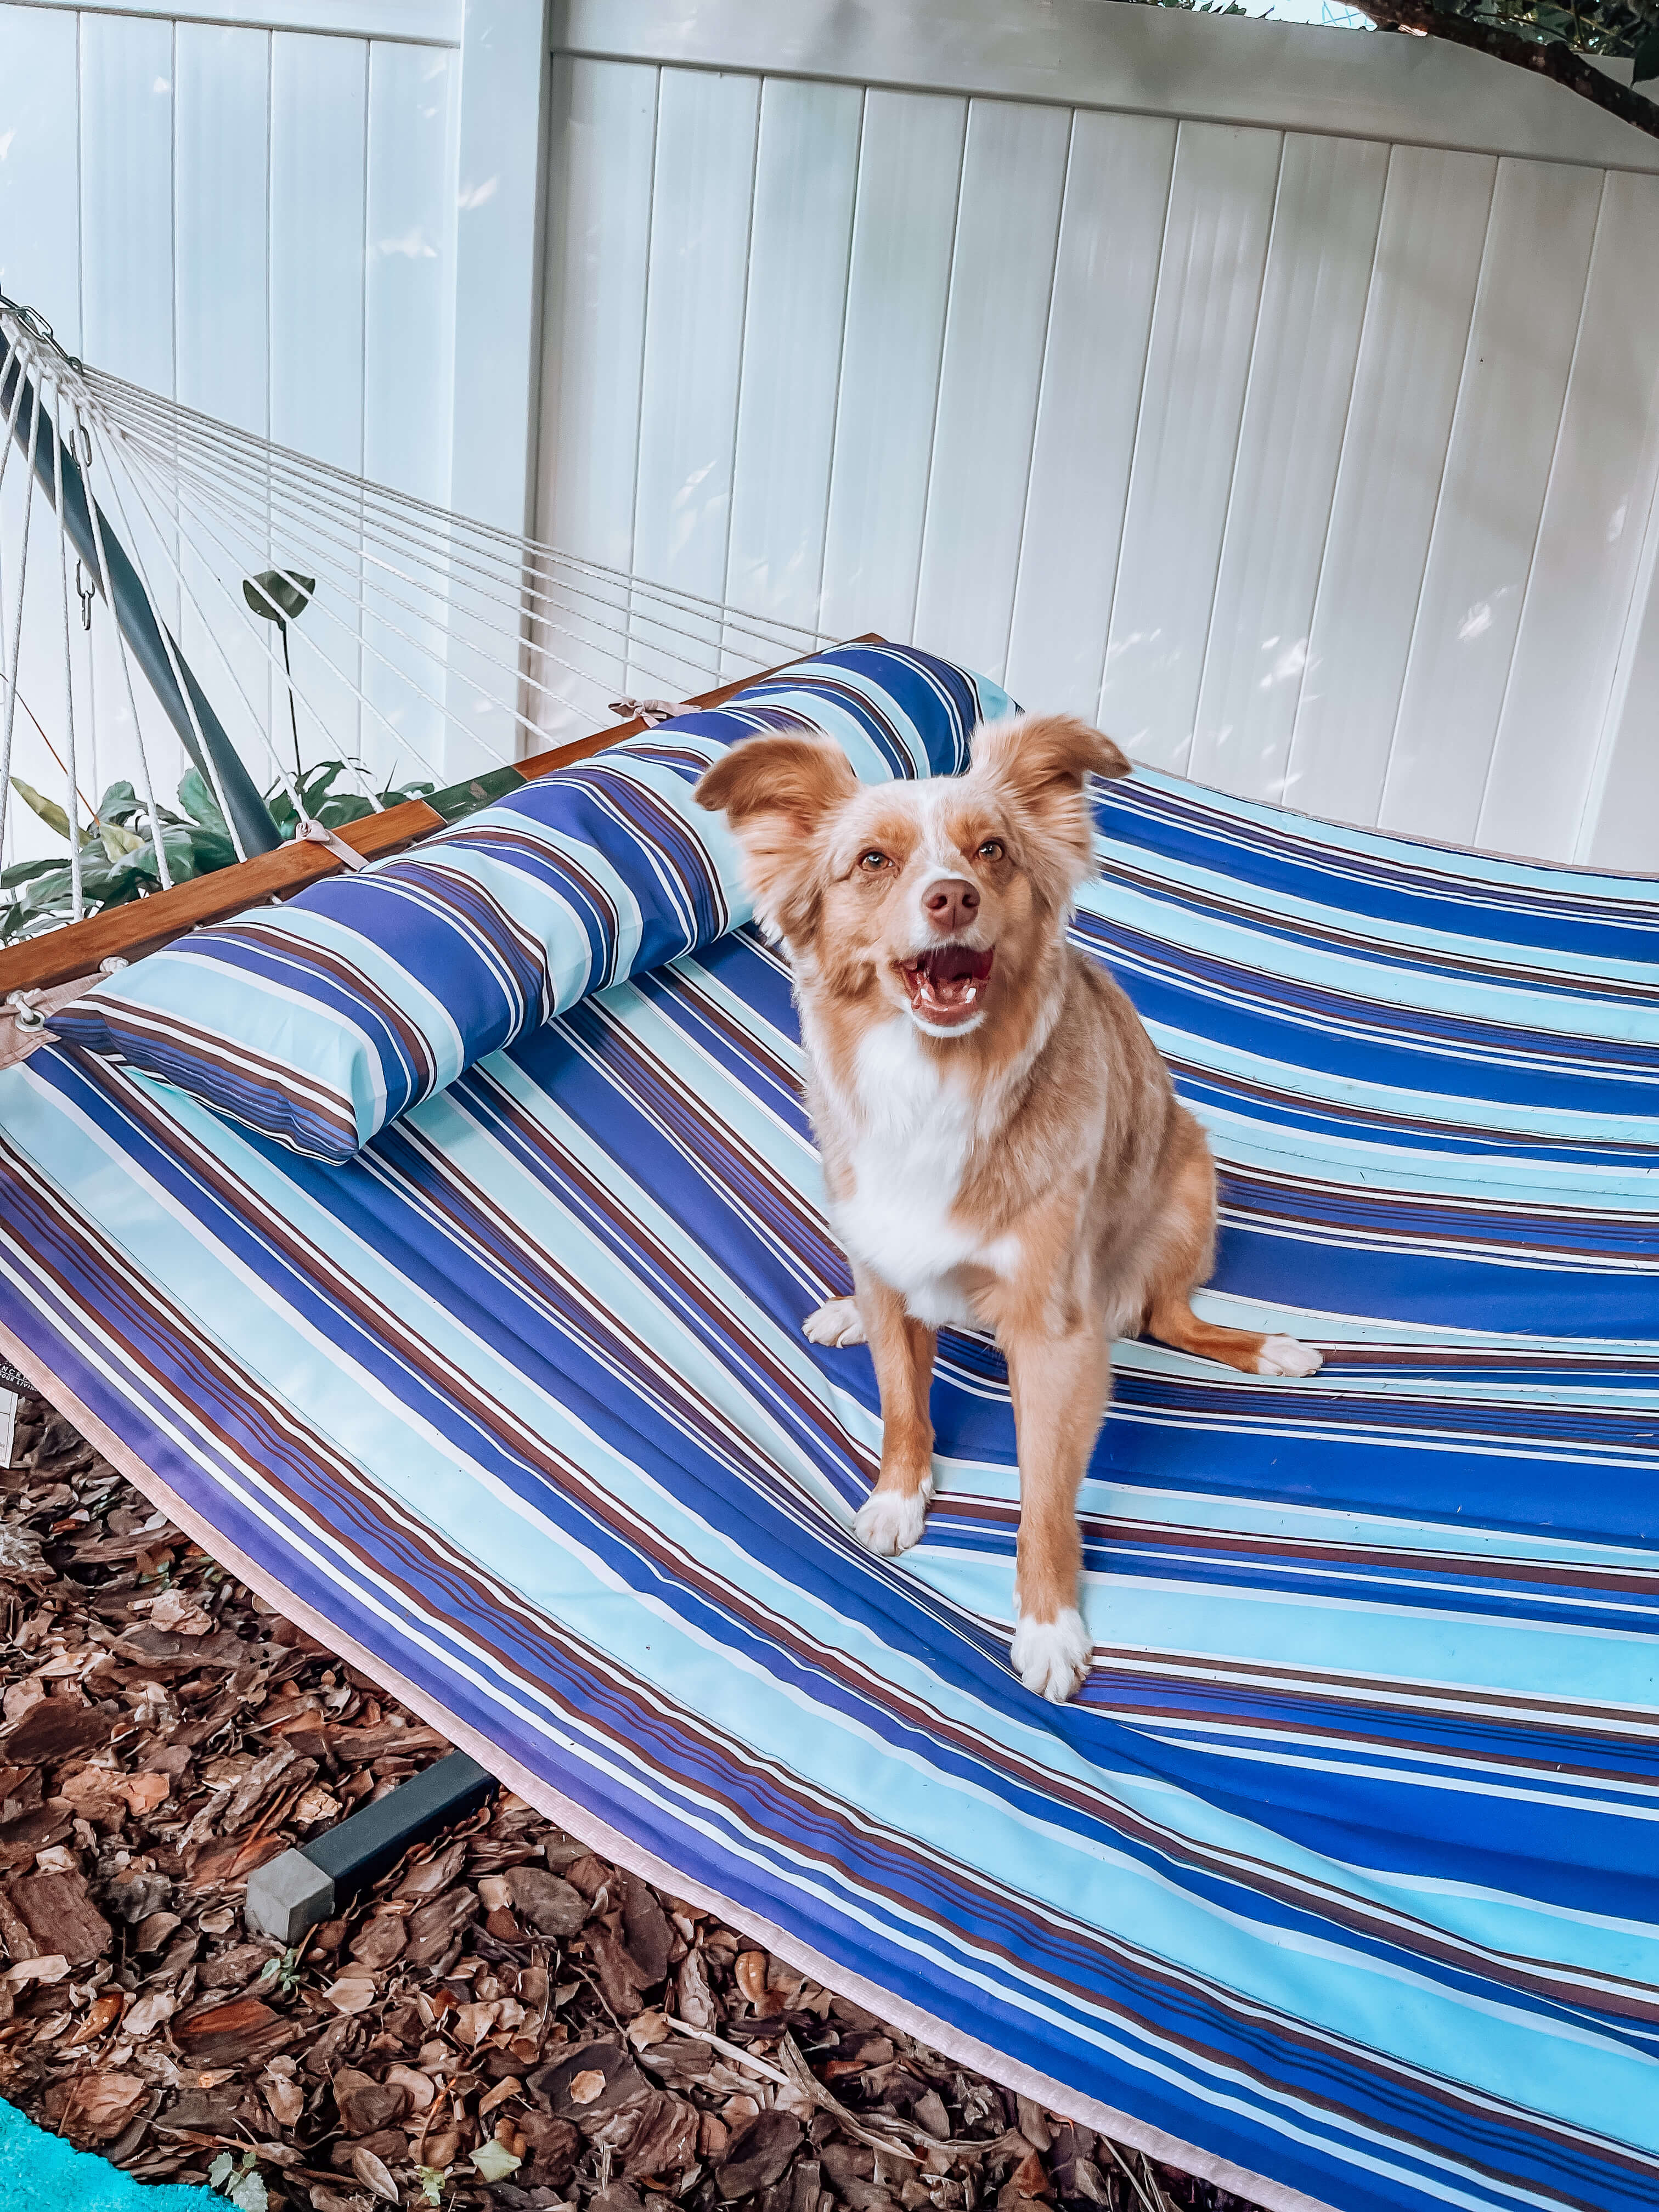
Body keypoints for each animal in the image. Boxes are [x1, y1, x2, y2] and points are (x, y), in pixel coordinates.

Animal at [695, 716, 1318, 1699]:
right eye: (872, 861)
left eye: (991, 851)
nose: (952, 898)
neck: (933, 1081)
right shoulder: (886, 1260)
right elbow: (901, 1403)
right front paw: (898, 1492)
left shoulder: (1054, 1332)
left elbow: (1046, 1497)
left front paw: (1049, 1624)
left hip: (1188, 1189)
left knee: (1170, 1319)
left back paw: (1269, 1348)